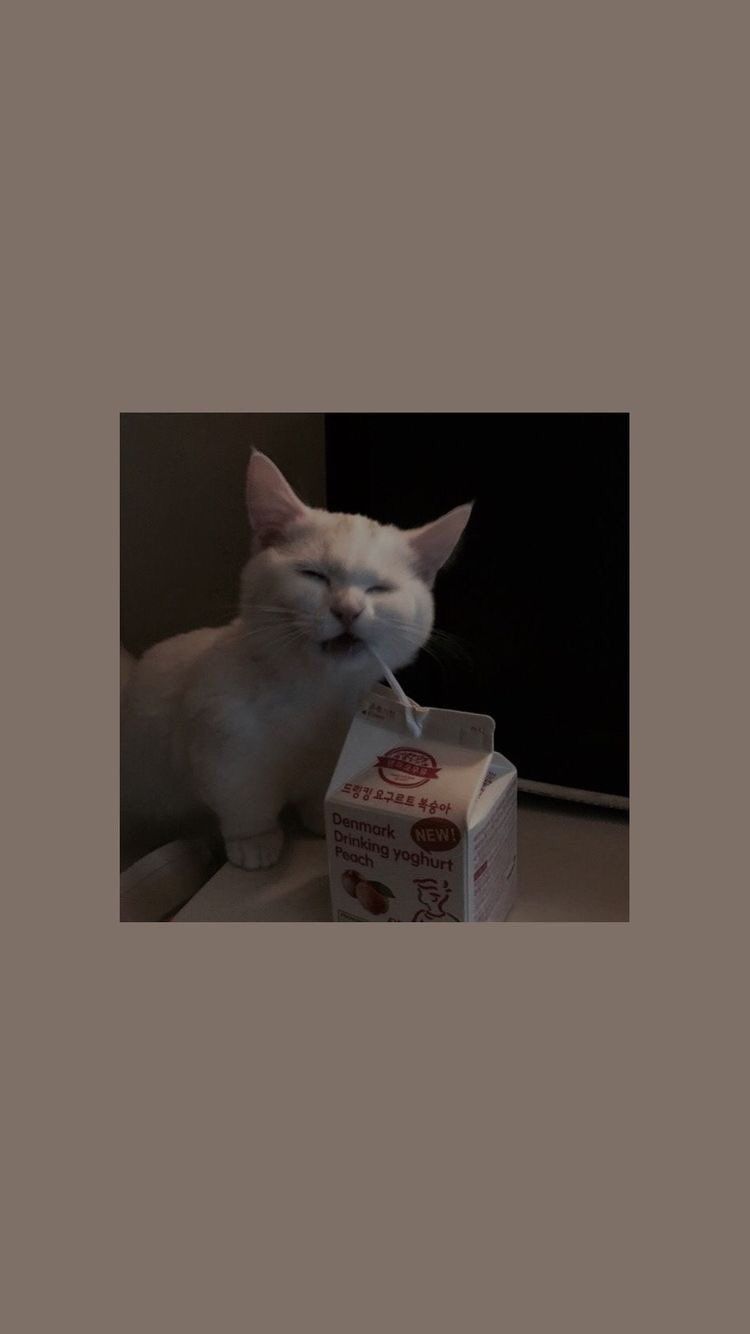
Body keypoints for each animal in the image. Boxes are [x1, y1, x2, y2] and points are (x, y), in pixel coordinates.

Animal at [121, 448, 472, 869]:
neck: (316, 700)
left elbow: (317, 790)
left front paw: (321, 820)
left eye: (380, 588)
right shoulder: (223, 754)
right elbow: (245, 803)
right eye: (313, 575)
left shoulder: (330, 755)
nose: (348, 610)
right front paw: (254, 842)